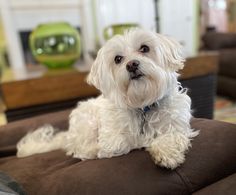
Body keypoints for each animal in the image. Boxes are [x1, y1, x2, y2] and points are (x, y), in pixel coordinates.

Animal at [16, 28, 198, 169]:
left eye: (145, 48)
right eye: (118, 59)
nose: (131, 65)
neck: (143, 105)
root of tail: (68, 135)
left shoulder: (177, 126)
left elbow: (172, 136)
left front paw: (167, 153)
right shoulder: (112, 138)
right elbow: (121, 143)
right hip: (87, 122)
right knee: (81, 149)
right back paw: (92, 150)